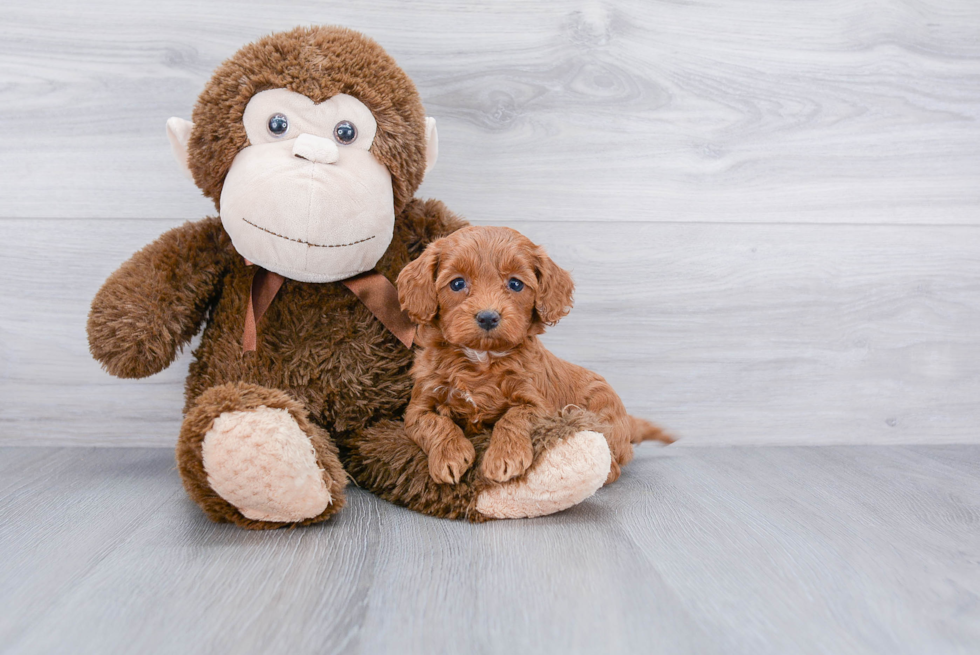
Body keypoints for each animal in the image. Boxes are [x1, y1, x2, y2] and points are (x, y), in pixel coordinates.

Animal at [394, 226, 668, 486]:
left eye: (515, 284)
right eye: (457, 284)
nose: (488, 317)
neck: (481, 358)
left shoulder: (539, 402)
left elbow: (514, 417)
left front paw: (505, 457)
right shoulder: (418, 405)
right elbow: (435, 423)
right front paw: (449, 455)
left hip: (602, 413)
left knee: (612, 462)